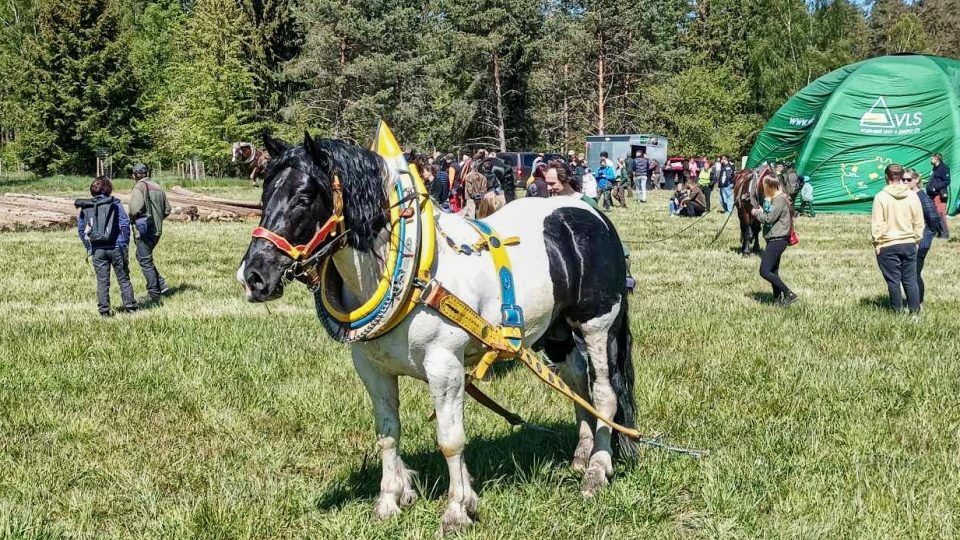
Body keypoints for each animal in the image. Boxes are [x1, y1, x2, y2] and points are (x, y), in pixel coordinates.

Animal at [236, 134, 636, 532]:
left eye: (304, 198)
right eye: (264, 195)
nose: (252, 276)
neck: (414, 276)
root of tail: (589, 212)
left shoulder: (445, 365)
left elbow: (450, 439)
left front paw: (458, 509)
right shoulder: (372, 368)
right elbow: (388, 434)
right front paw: (389, 501)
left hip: (598, 326)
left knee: (604, 394)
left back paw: (598, 469)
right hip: (555, 331)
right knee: (577, 383)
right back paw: (582, 455)